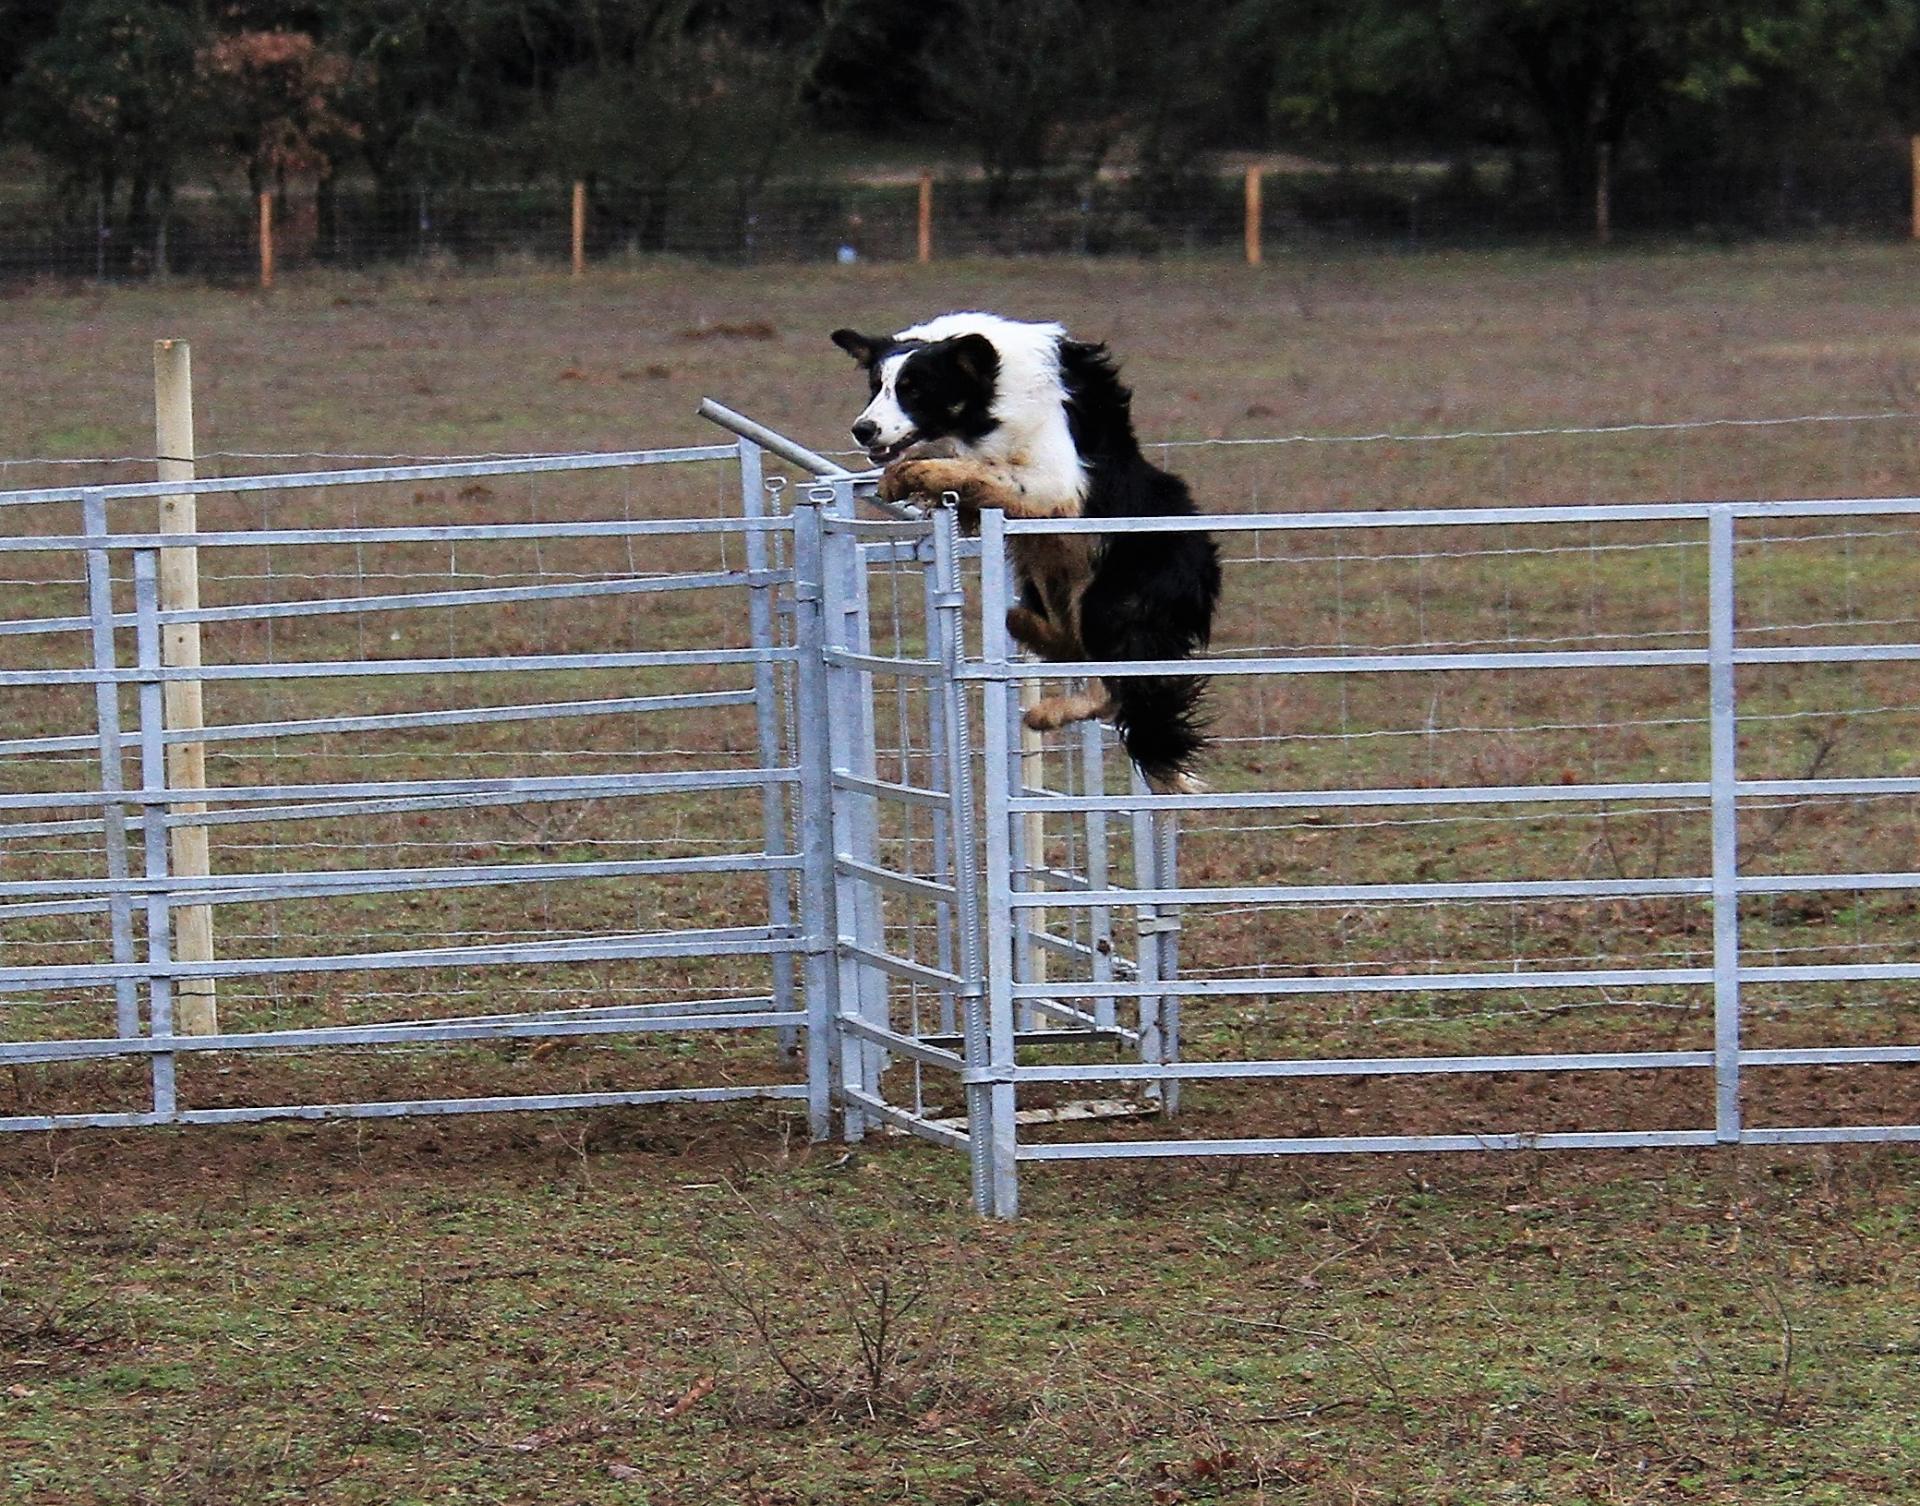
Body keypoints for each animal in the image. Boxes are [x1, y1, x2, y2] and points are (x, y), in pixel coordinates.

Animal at [829, 311, 1221, 795]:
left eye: (914, 389)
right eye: (876, 386)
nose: (862, 429)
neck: (991, 391)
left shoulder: (1053, 479)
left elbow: (980, 468)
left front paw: (918, 472)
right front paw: (904, 476)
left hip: (1110, 602)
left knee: (1116, 690)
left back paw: (1045, 712)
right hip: (1043, 589)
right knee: (1068, 649)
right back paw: (1031, 632)